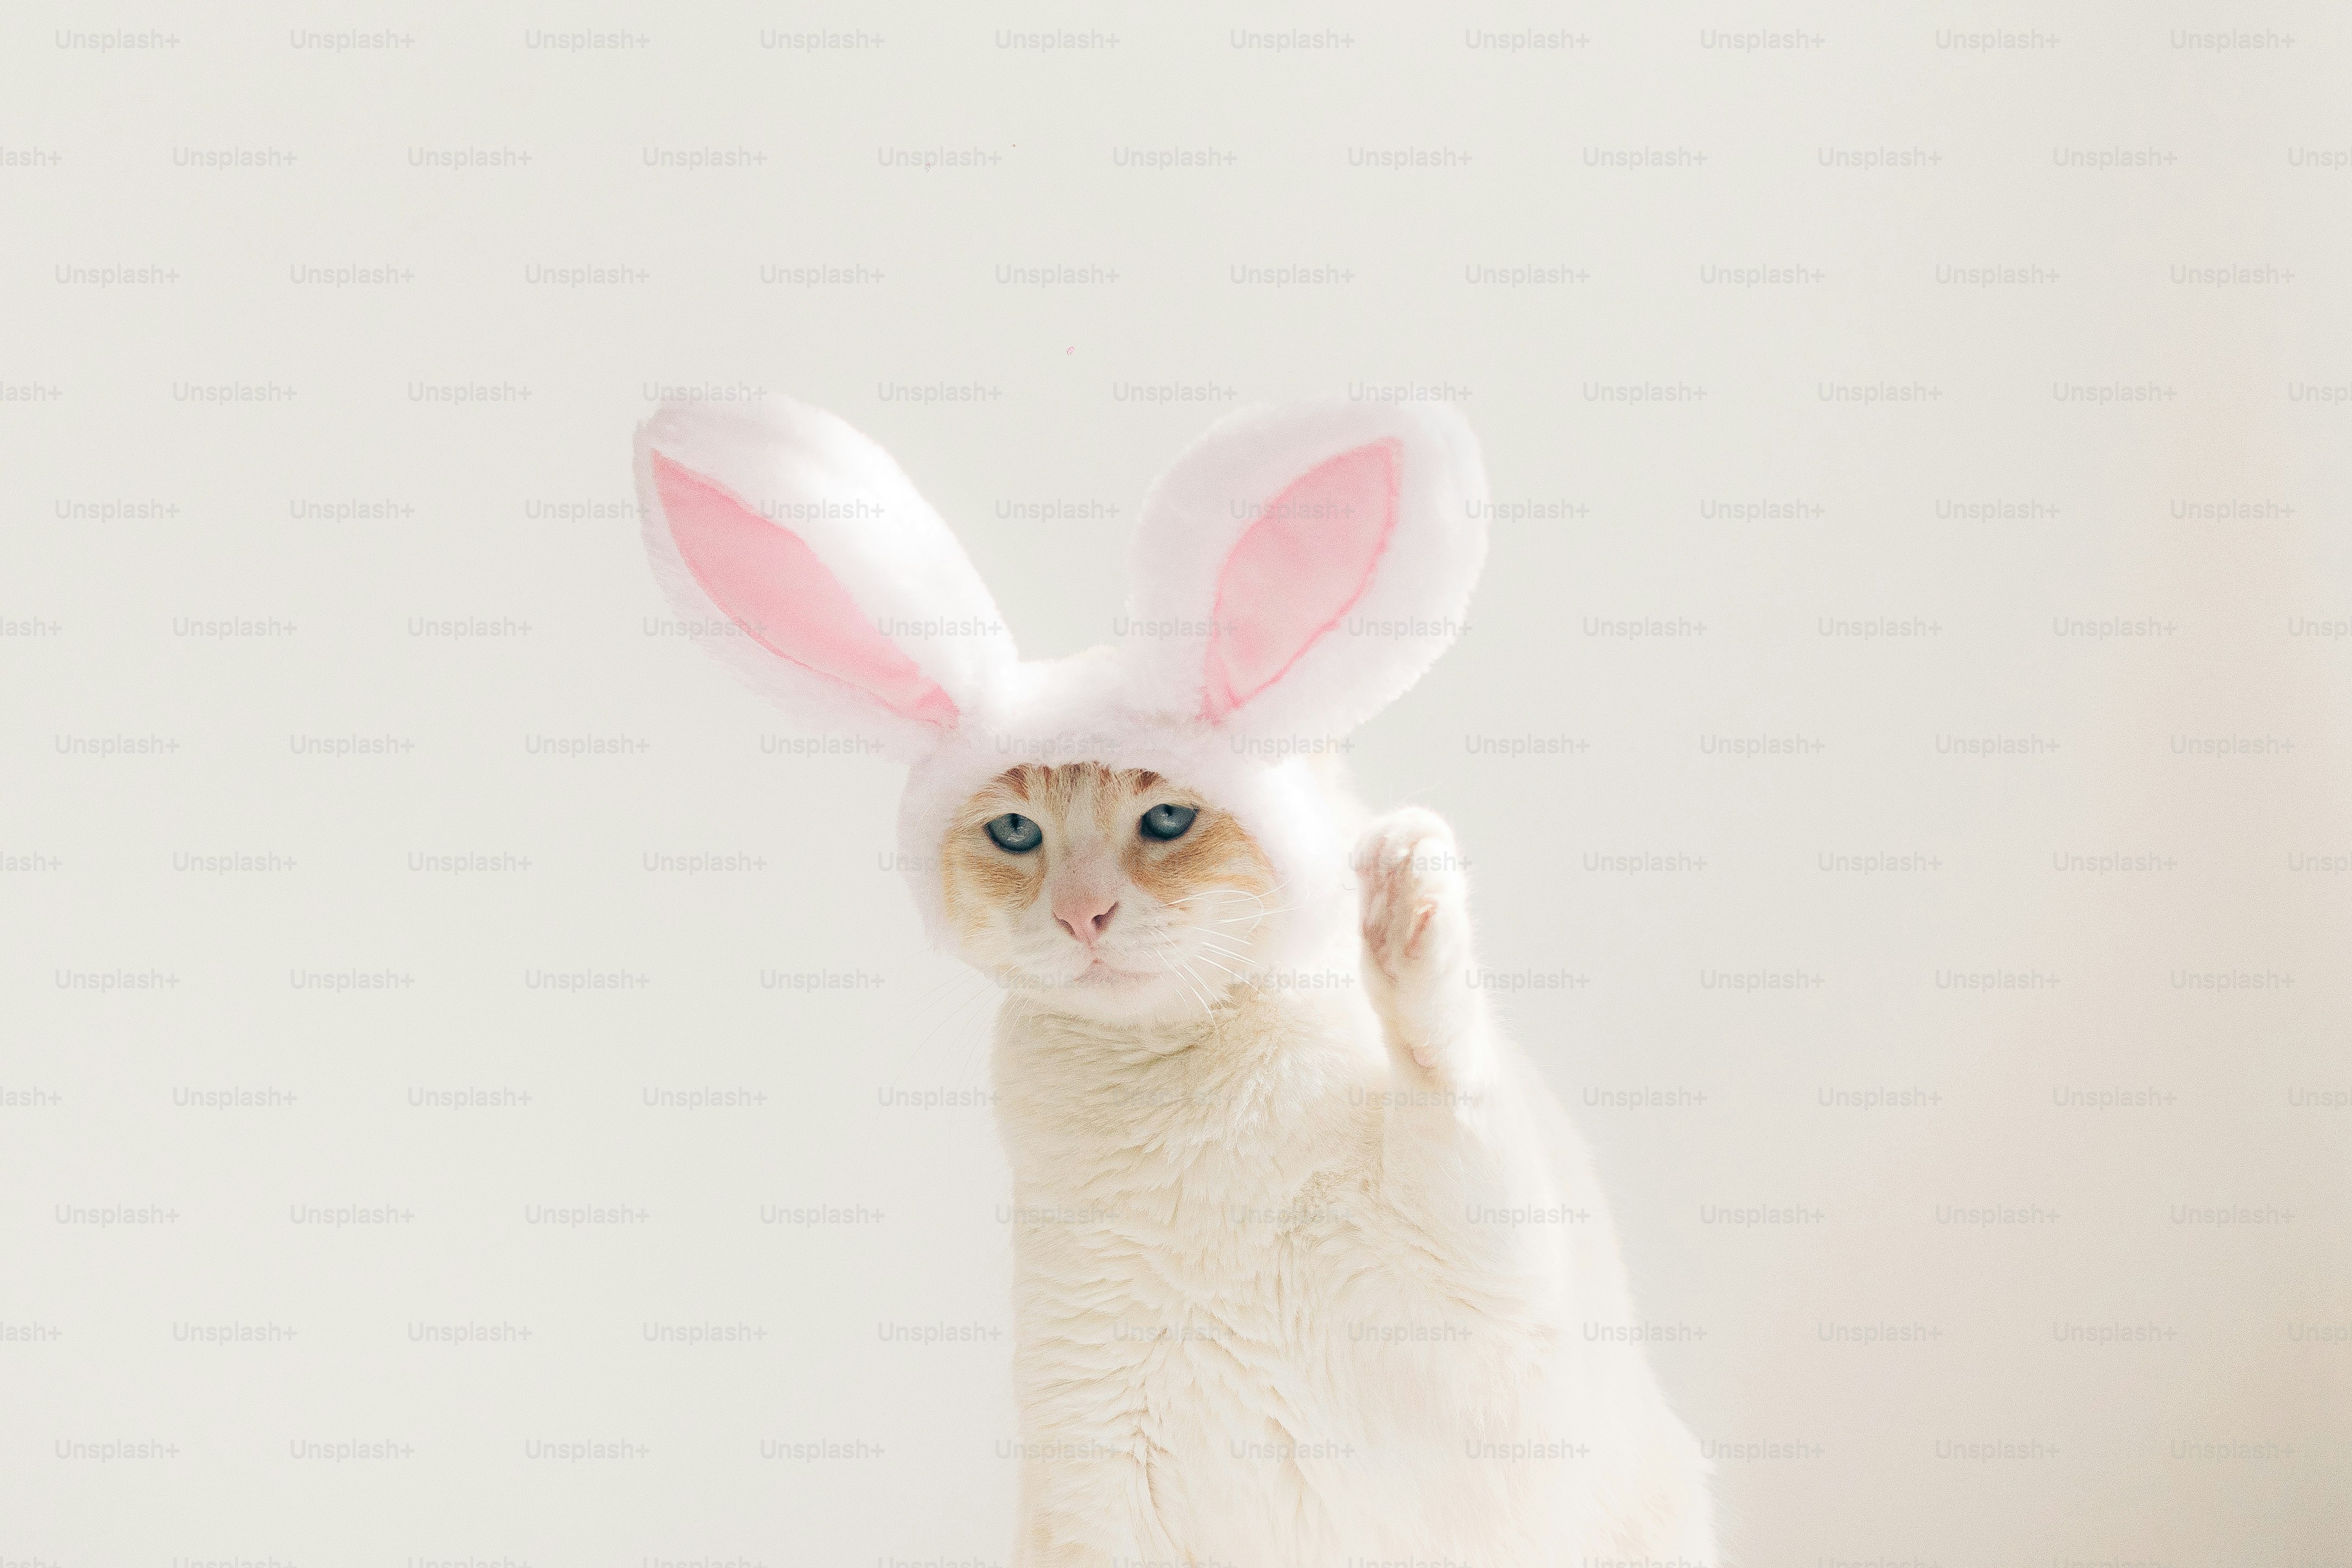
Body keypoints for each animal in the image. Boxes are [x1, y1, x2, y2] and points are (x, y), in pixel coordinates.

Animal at [632, 393, 1715, 1565]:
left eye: (1164, 820)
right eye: (1017, 833)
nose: (1082, 913)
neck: (1177, 1119)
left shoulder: (1481, 1287)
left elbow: (1441, 1059)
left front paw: (1404, 898)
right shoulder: (1096, 1477)